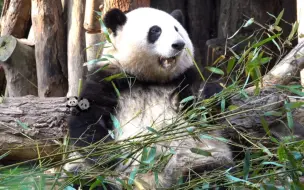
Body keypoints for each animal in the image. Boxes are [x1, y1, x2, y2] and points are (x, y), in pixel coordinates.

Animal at [67, 6, 233, 189]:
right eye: (155, 30)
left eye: (177, 29)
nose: (179, 44)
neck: (150, 79)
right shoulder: (108, 79)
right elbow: (87, 121)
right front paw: (111, 156)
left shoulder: (184, 79)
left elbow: (208, 112)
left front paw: (210, 94)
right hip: (92, 174)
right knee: (84, 180)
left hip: (202, 158)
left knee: (213, 175)